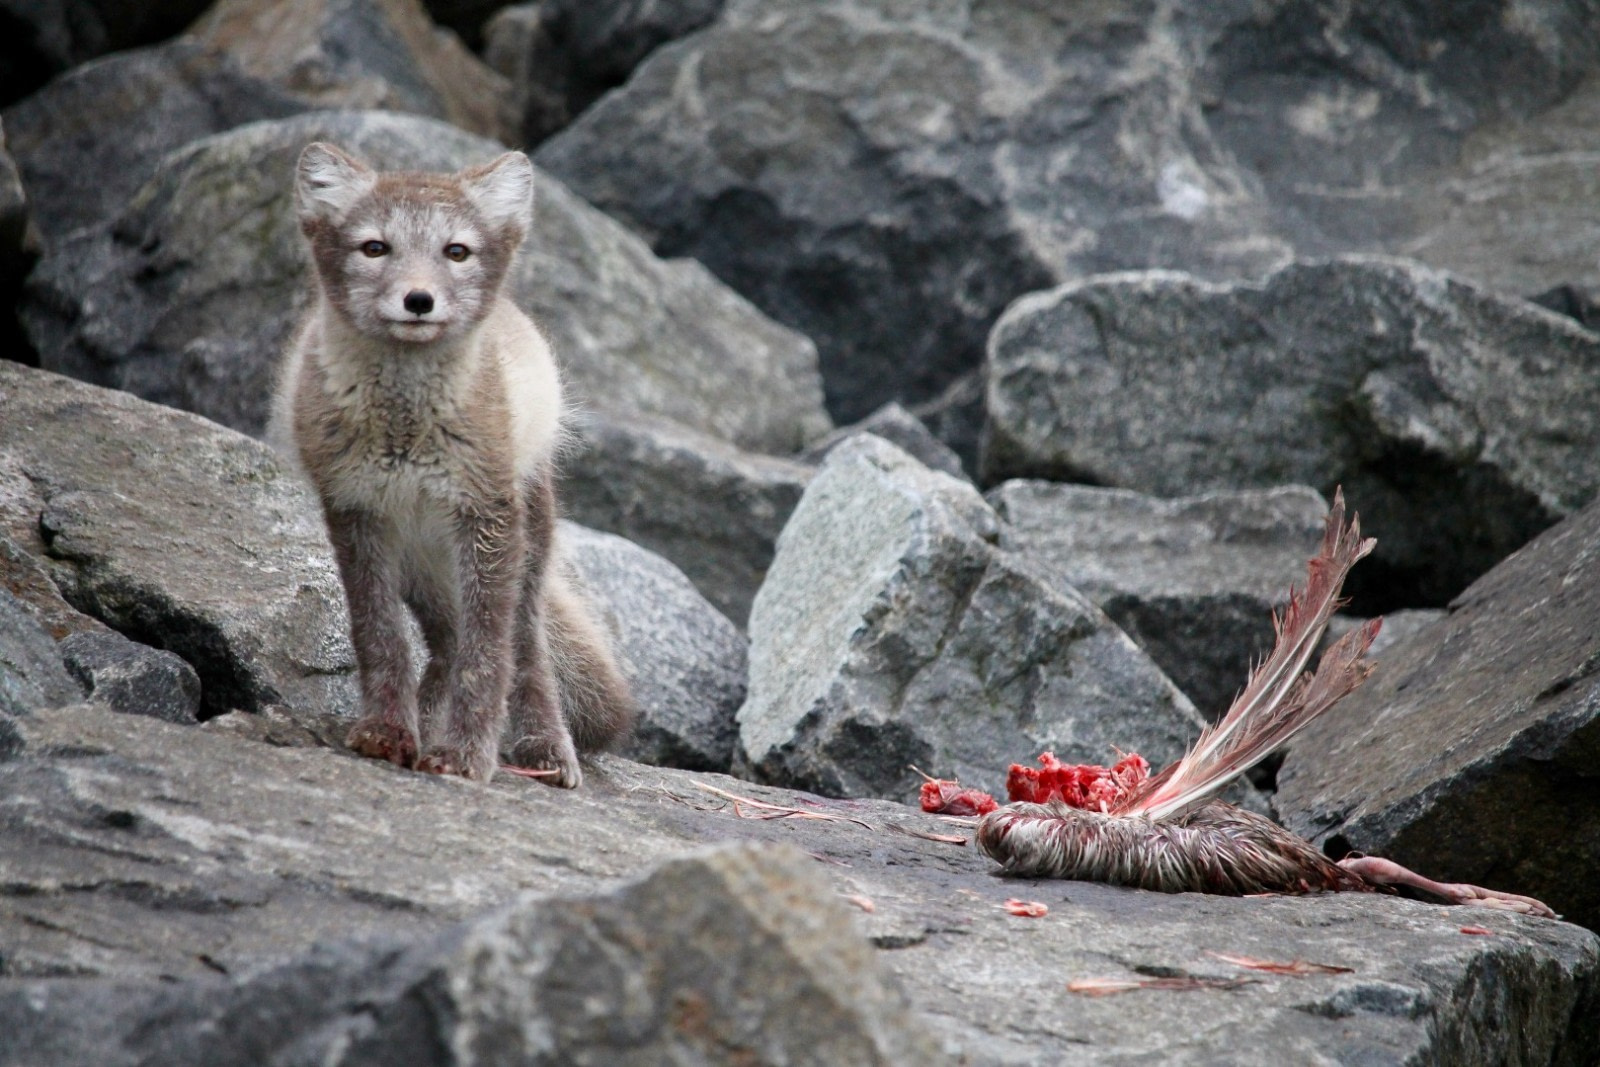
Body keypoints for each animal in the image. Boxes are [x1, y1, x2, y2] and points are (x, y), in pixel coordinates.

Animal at [272, 141, 627, 783]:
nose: (418, 300)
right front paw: (388, 732)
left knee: (523, 645)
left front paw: (465, 756)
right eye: (375, 247)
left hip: (520, 542)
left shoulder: (486, 516)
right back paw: (428, 722)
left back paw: (544, 748)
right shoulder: (356, 513)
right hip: (424, 565)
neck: (404, 430)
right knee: (447, 643)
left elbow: (490, 656)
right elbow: (381, 638)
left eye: (455, 252)